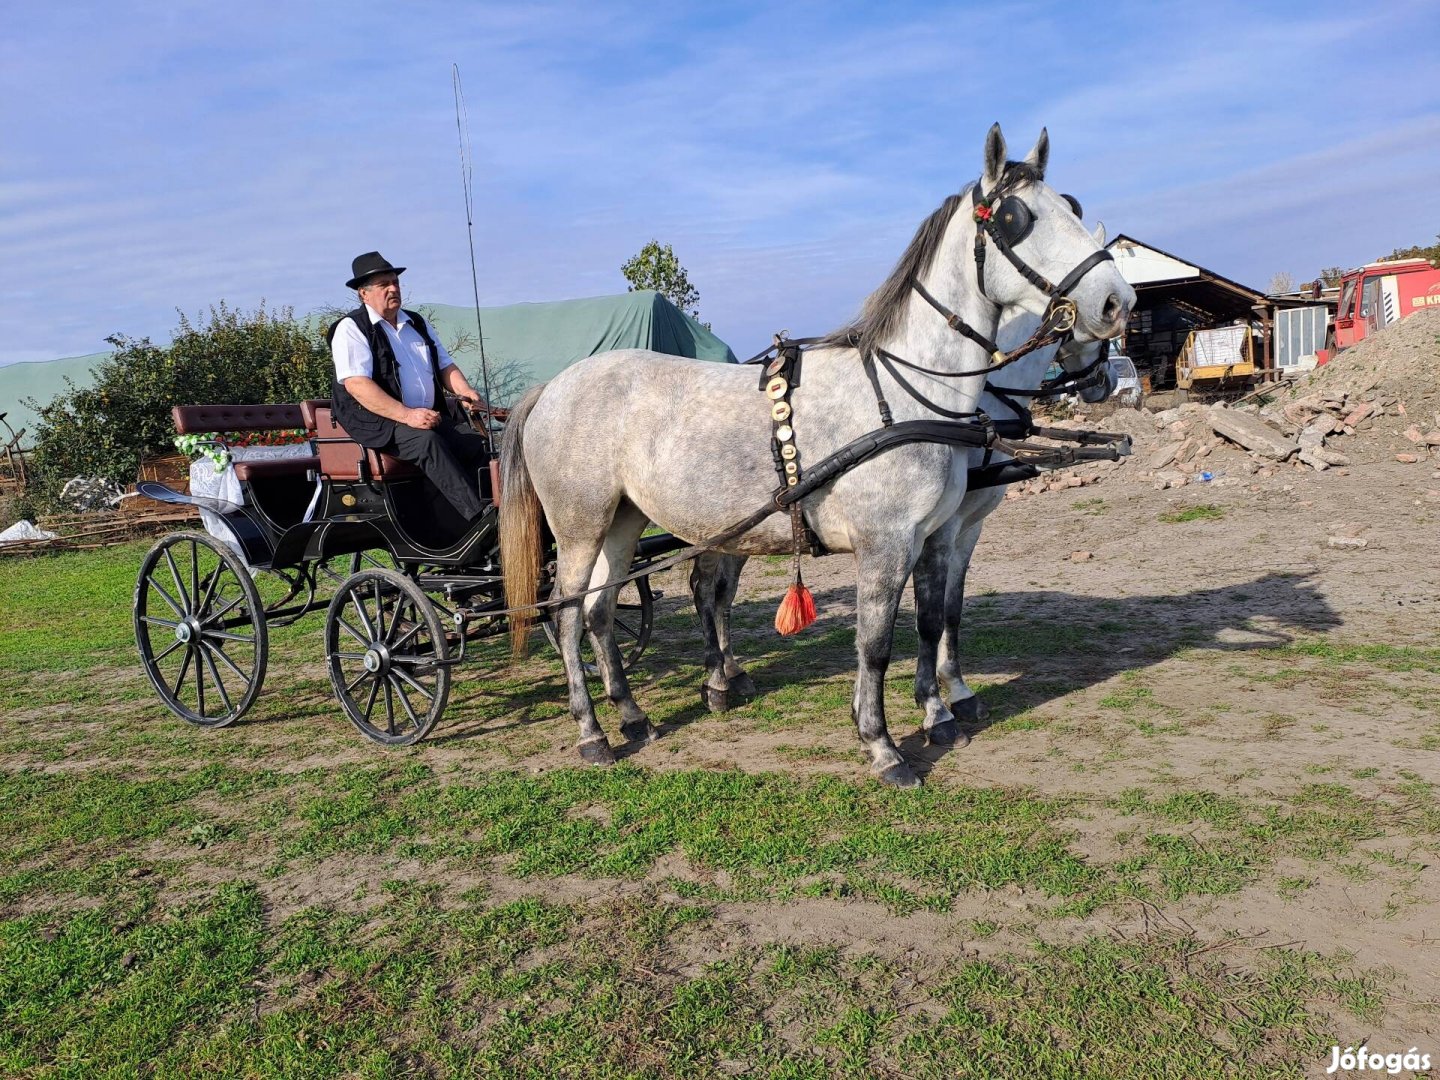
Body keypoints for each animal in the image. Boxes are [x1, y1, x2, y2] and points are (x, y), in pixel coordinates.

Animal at [691, 276, 1117, 743]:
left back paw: (732, 672)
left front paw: (953, 694)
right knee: (705, 588)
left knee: (721, 592)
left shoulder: (964, 528)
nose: (1109, 378)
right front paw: (935, 703)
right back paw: (717, 681)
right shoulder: (936, 526)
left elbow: (949, 610)